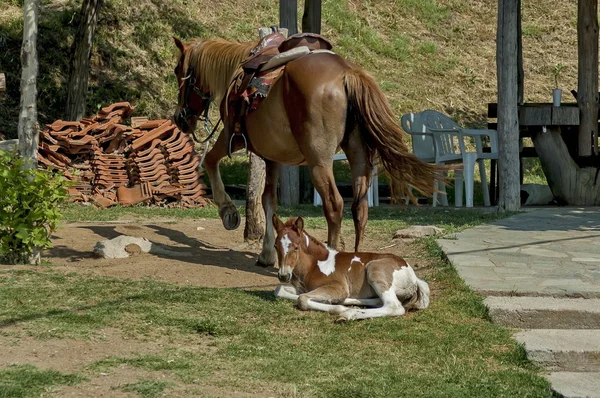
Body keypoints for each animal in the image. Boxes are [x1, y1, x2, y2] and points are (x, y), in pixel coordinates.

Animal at [172, 36, 440, 268]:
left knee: (334, 205)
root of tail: (347, 73)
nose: (180, 119)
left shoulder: (231, 137)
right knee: (360, 207)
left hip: (319, 161)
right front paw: (267, 253)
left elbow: (210, 161)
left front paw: (228, 211)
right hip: (358, 155)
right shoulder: (272, 157)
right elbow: (269, 200)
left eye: (177, 71)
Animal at [272, 215, 432, 324]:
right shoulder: (300, 287)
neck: (314, 265)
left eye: (296, 247)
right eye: (275, 246)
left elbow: (302, 299)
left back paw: (348, 314)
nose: (283, 275)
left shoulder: (338, 287)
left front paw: (339, 308)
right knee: (378, 301)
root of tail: (412, 275)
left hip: (374, 269)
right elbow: (279, 290)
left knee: (394, 306)